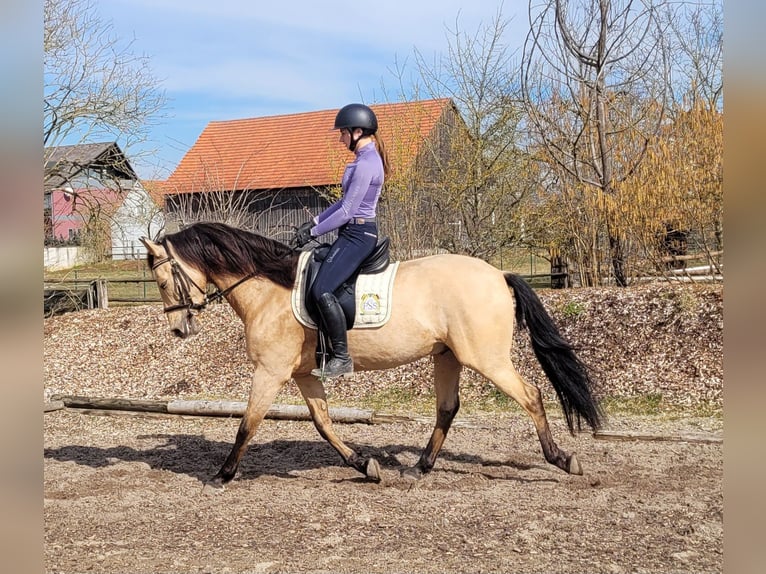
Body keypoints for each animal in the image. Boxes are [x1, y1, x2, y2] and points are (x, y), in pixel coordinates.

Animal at [141, 222, 604, 490]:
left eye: (162, 279)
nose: (179, 329)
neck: (269, 287)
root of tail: (497, 274)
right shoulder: (304, 374)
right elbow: (323, 424)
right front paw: (364, 465)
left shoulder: (269, 372)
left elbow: (246, 425)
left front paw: (221, 476)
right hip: (447, 356)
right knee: (447, 408)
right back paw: (419, 468)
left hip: (485, 358)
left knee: (530, 396)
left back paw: (562, 460)